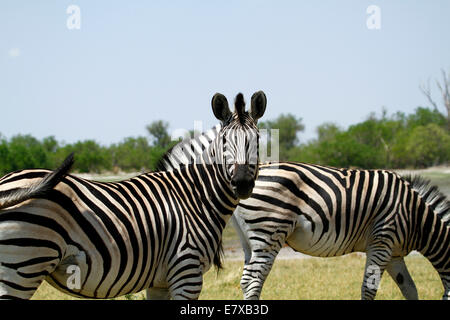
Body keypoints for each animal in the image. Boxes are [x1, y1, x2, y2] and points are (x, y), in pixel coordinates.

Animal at [0, 90, 268, 300]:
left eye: (257, 140)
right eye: (224, 142)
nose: (242, 183)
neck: (193, 196)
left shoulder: (160, 282)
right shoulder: (186, 272)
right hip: (21, 268)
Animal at [157, 124, 450, 298]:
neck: (416, 216)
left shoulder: (394, 254)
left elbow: (409, 288)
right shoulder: (383, 240)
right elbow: (369, 288)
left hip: (249, 239)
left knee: (246, 279)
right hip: (269, 231)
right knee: (252, 279)